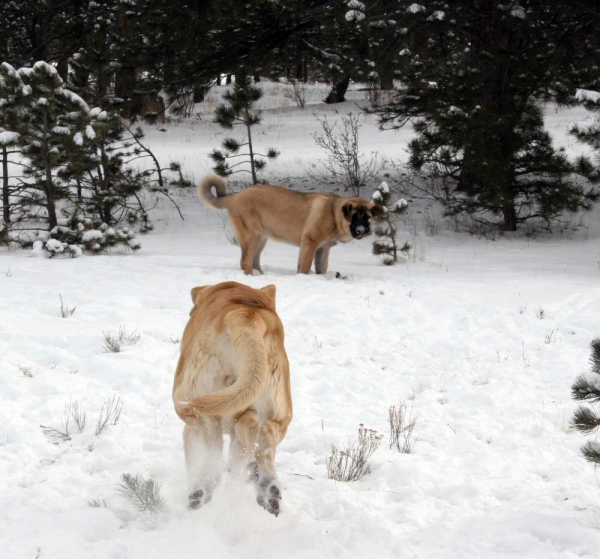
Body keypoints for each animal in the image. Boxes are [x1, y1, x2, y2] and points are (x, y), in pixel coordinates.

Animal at [172, 282, 292, 520]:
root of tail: (246, 315)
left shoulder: (190, 430)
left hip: (190, 401)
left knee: (214, 447)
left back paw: (202, 489)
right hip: (279, 413)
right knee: (261, 438)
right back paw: (268, 489)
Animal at [197, 176, 384, 274]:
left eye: (367, 217)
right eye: (354, 216)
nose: (362, 230)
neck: (333, 214)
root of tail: (235, 197)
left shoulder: (323, 249)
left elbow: (320, 267)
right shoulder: (310, 243)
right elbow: (305, 267)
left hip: (261, 240)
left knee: (254, 261)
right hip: (252, 238)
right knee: (245, 262)